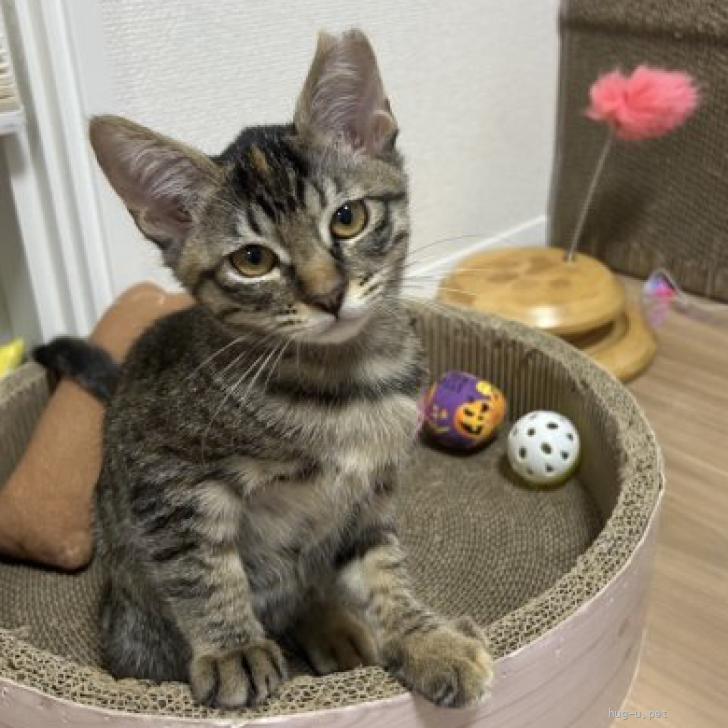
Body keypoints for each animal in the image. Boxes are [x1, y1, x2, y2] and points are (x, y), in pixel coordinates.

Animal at [44, 29, 494, 710]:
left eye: (348, 218)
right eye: (252, 260)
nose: (328, 294)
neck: (345, 384)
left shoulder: (370, 498)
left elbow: (384, 570)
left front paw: (426, 639)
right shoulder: (164, 477)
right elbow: (202, 567)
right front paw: (233, 649)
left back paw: (333, 625)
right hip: (133, 619)